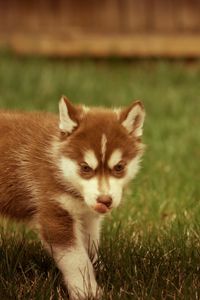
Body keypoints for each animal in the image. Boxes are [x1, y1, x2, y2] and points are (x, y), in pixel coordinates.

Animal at [0, 97, 145, 298]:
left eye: (119, 167)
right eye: (85, 168)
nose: (105, 201)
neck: (59, 165)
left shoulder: (87, 216)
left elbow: (90, 247)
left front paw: (98, 270)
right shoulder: (55, 213)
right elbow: (77, 259)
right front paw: (87, 291)